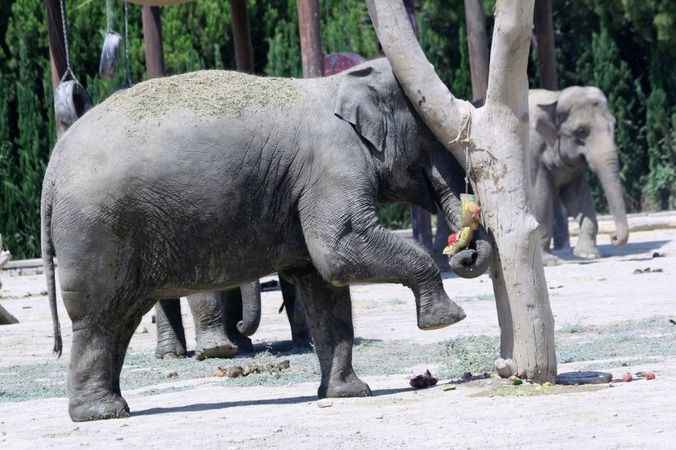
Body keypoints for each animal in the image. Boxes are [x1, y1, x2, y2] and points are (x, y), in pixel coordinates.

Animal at [528, 86, 628, 262]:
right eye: (581, 131)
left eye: (613, 124)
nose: (613, 237)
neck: (555, 97)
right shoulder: (532, 152)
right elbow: (540, 196)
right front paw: (549, 261)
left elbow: (577, 197)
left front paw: (589, 254)